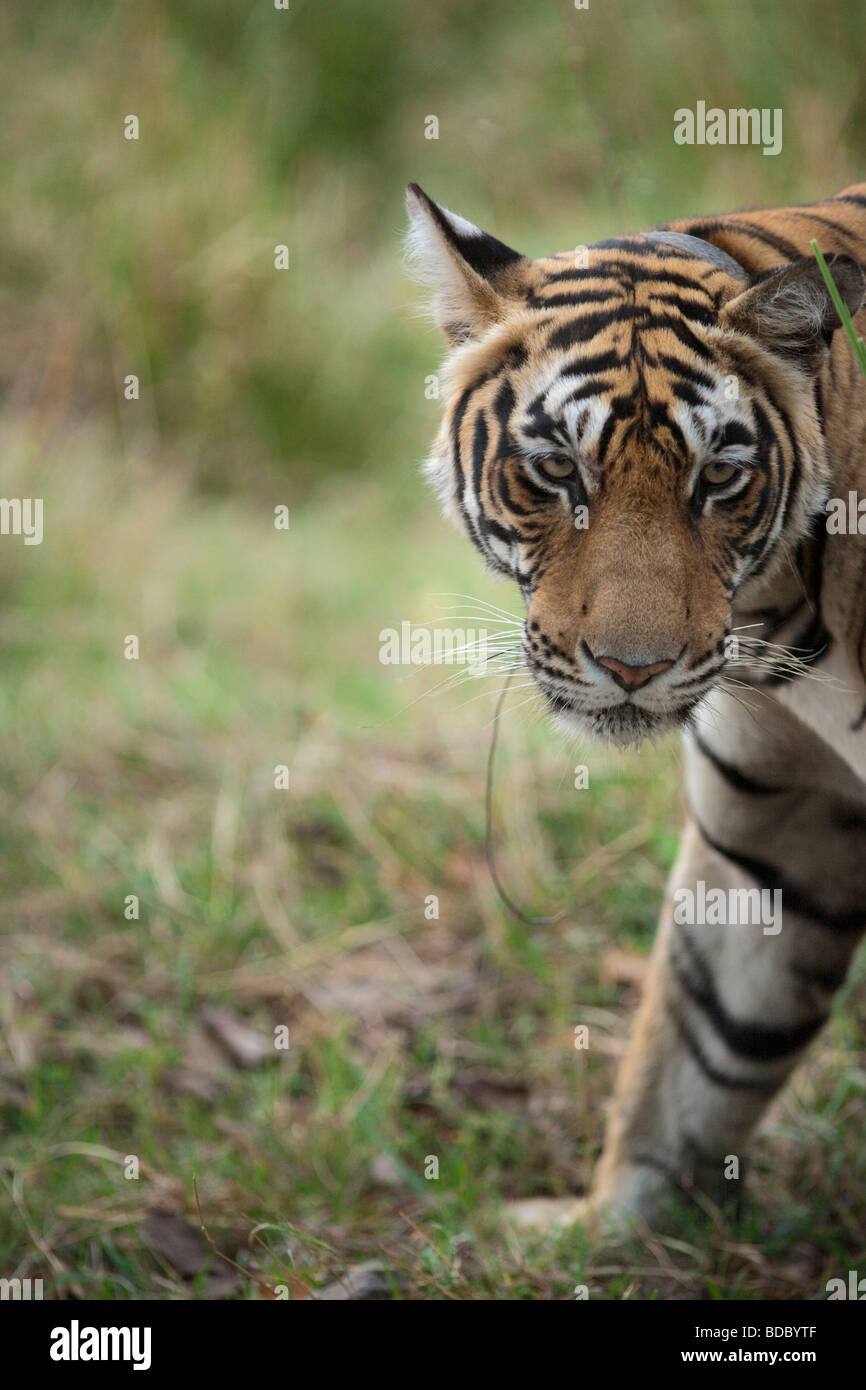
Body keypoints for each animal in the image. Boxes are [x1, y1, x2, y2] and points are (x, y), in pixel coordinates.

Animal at [405, 179, 866, 1234]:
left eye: (719, 479)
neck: (785, 613)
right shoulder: (775, 820)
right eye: (556, 470)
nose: (630, 667)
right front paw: (606, 1228)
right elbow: (708, 1039)